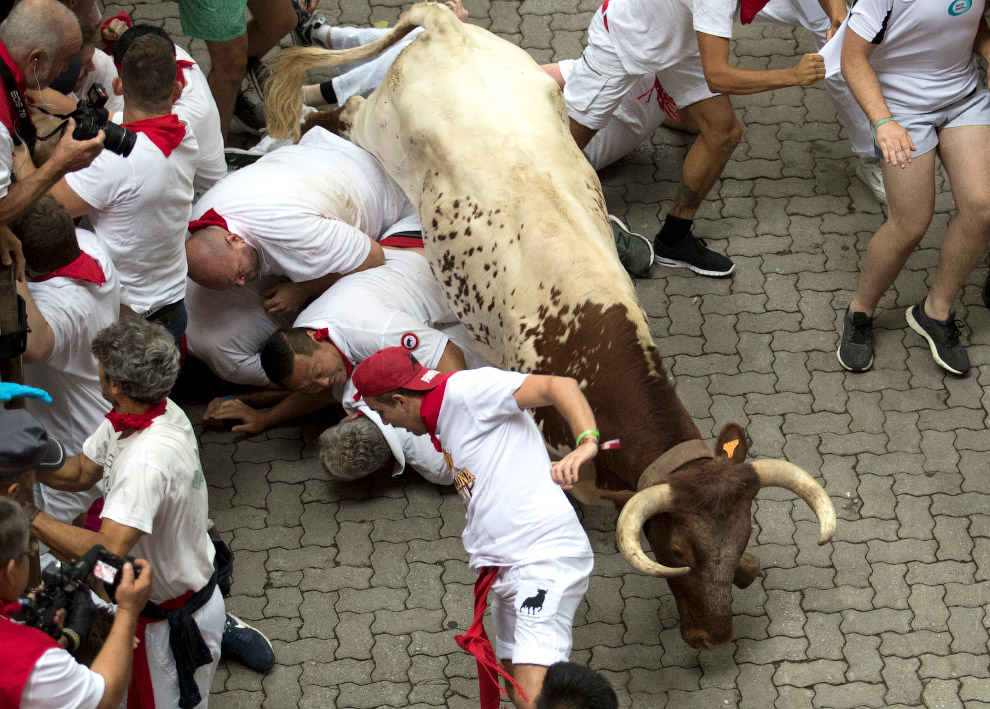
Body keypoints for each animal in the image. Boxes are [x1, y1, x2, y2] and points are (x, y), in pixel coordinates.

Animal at [266, 2, 836, 648]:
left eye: (740, 539)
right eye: (676, 551)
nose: (713, 637)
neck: (591, 343)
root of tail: (444, 25)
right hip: (377, 131)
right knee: (350, 108)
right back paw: (308, 116)